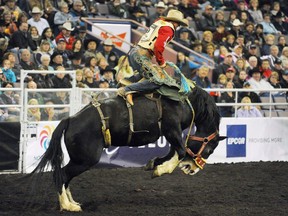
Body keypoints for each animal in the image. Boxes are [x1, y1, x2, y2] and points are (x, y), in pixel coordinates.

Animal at [33, 85, 225, 212]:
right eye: (210, 149)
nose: (192, 169)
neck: (185, 103)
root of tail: (70, 119)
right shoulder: (172, 129)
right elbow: (181, 151)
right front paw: (161, 170)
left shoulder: (171, 133)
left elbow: (173, 151)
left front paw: (154, 163)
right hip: (85, 160)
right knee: (62, 175)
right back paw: (67, 206)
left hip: (78, 159)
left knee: (65, 177)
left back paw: (72, 202)